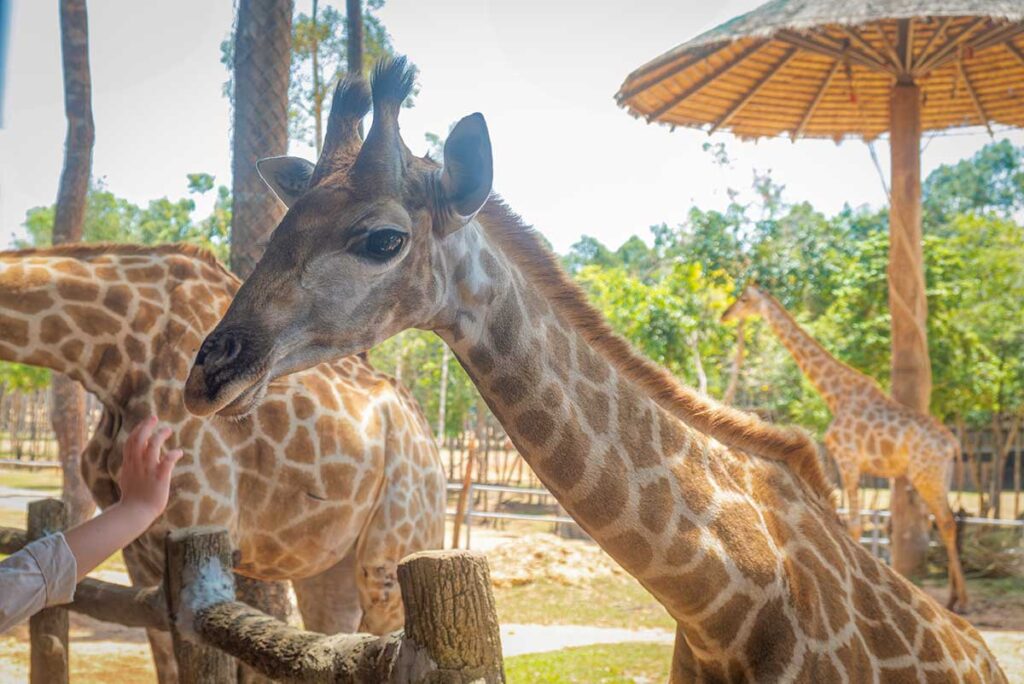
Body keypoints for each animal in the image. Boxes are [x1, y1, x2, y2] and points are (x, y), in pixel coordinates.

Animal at [0, 242, 445, 680]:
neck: (111, 357)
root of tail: (430, 442)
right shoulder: (136, 546)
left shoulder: (202, 523)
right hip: (328, 562)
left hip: (394, 554)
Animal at [721, 283, 968, 611]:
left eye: (744, 299)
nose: (725, 314)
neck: (835, 395)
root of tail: (952, 443)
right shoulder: (854, 465)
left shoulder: (848, 459)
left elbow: (853, 525)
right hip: (940, 476)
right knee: (946, 522)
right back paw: (953, 597)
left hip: (926, 475)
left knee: (947, 522)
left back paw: (961, 601)